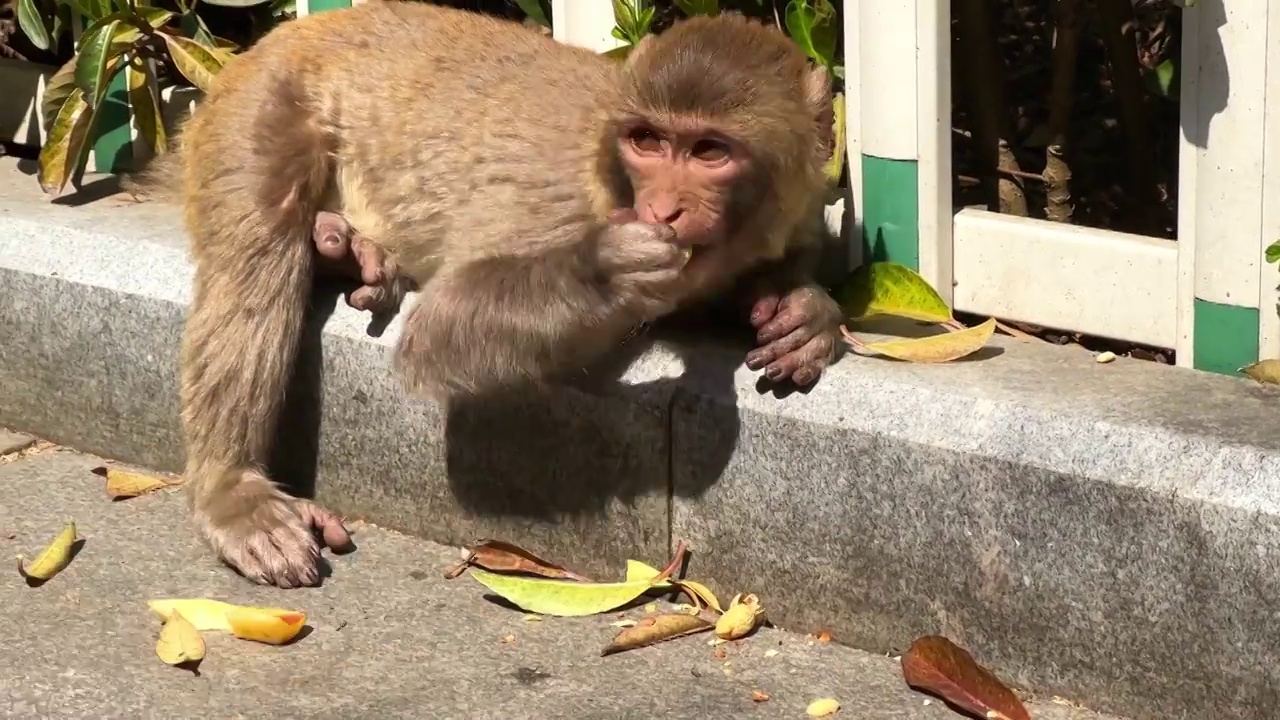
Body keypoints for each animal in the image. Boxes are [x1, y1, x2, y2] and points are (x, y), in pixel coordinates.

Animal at [157, 1, 839, 589]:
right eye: (648, 141)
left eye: (709, 151)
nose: (663, 208)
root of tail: (291, 33)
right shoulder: (566, 202)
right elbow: (438, 330)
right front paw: (608, 272)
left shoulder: (803, 199)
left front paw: (807, 317)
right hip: (260, 105)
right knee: (255, 259)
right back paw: (232, 489)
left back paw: (343, 250)